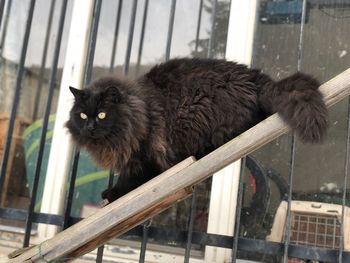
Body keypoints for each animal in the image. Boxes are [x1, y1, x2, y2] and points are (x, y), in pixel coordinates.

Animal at [66, 58, 328, 202]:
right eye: (82, 115)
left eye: (102, 114)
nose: (90, 127)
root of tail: (254, 77)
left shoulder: (144, 152)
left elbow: (131, 178)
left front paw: (113, 193)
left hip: (197, 110)